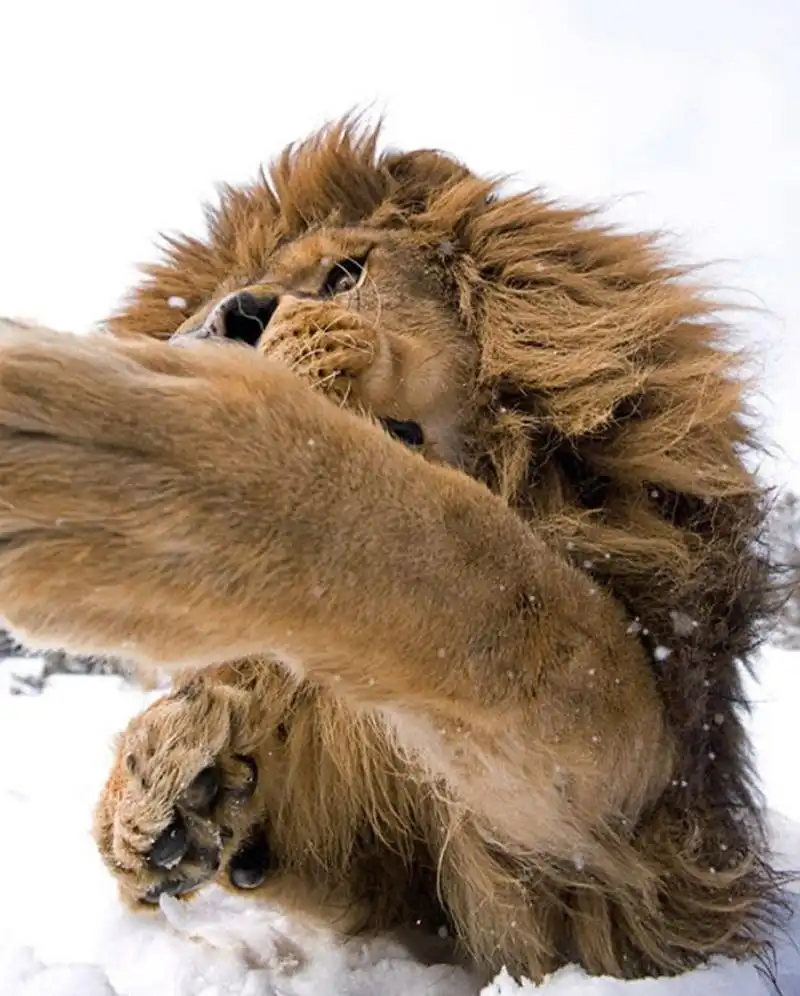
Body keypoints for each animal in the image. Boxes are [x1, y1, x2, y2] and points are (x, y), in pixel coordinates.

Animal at [0, 119, 788, 984]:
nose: (218, 325)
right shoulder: (413, 885)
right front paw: (164, 792)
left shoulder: (644, 800)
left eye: (346, 273)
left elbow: (485, 578)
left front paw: (122, 458)